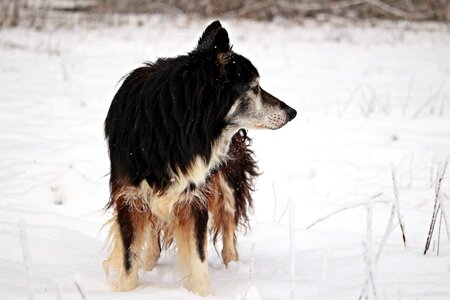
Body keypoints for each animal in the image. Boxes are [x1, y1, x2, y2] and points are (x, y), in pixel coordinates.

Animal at [103, 20, 298, 296]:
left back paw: (233, 266)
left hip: (227, 178)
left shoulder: (194, 196)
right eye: (255, 88)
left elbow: (198, 256)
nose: (292, 112)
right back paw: (150, 261)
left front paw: (201, 292)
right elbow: (128, 260)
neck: (177, 128)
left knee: (228, 224)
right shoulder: (128, 196)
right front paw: (127, 290)